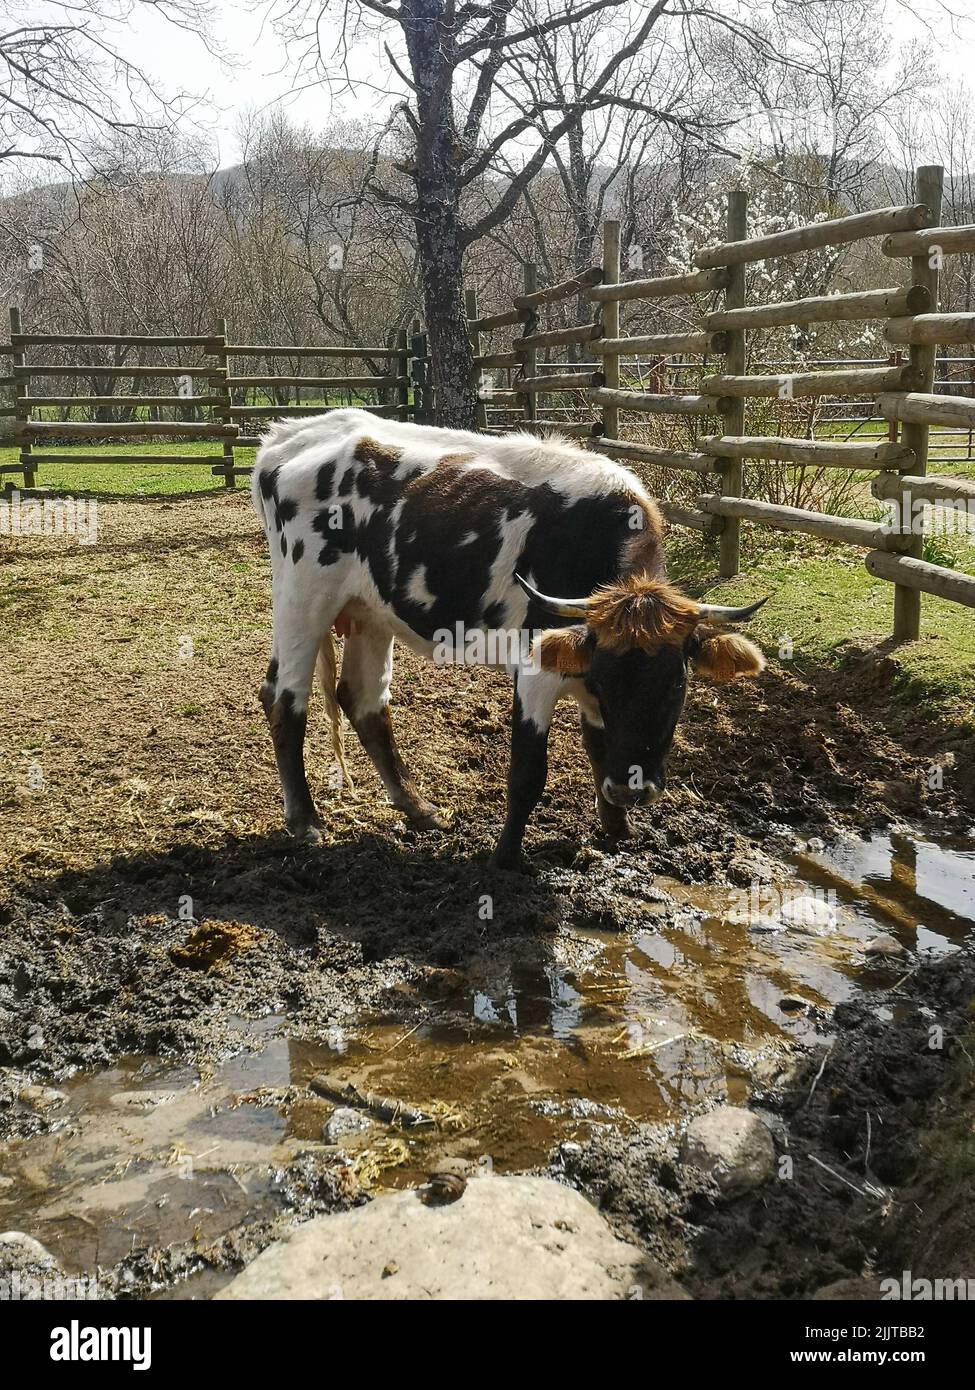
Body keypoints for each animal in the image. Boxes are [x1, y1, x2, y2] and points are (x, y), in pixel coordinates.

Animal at [247, 405, 762, 867]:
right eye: (607, 679)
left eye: (677, 685)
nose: (631, 787)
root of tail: (292, 433)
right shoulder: (537, 668)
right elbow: (529, 773)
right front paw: (507, 858)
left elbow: (598, 748)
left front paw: (619, 831)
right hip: (302, 598)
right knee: (284, 698)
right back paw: (305, 820)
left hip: (372, 613)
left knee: (363, 700)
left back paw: (418, 808)